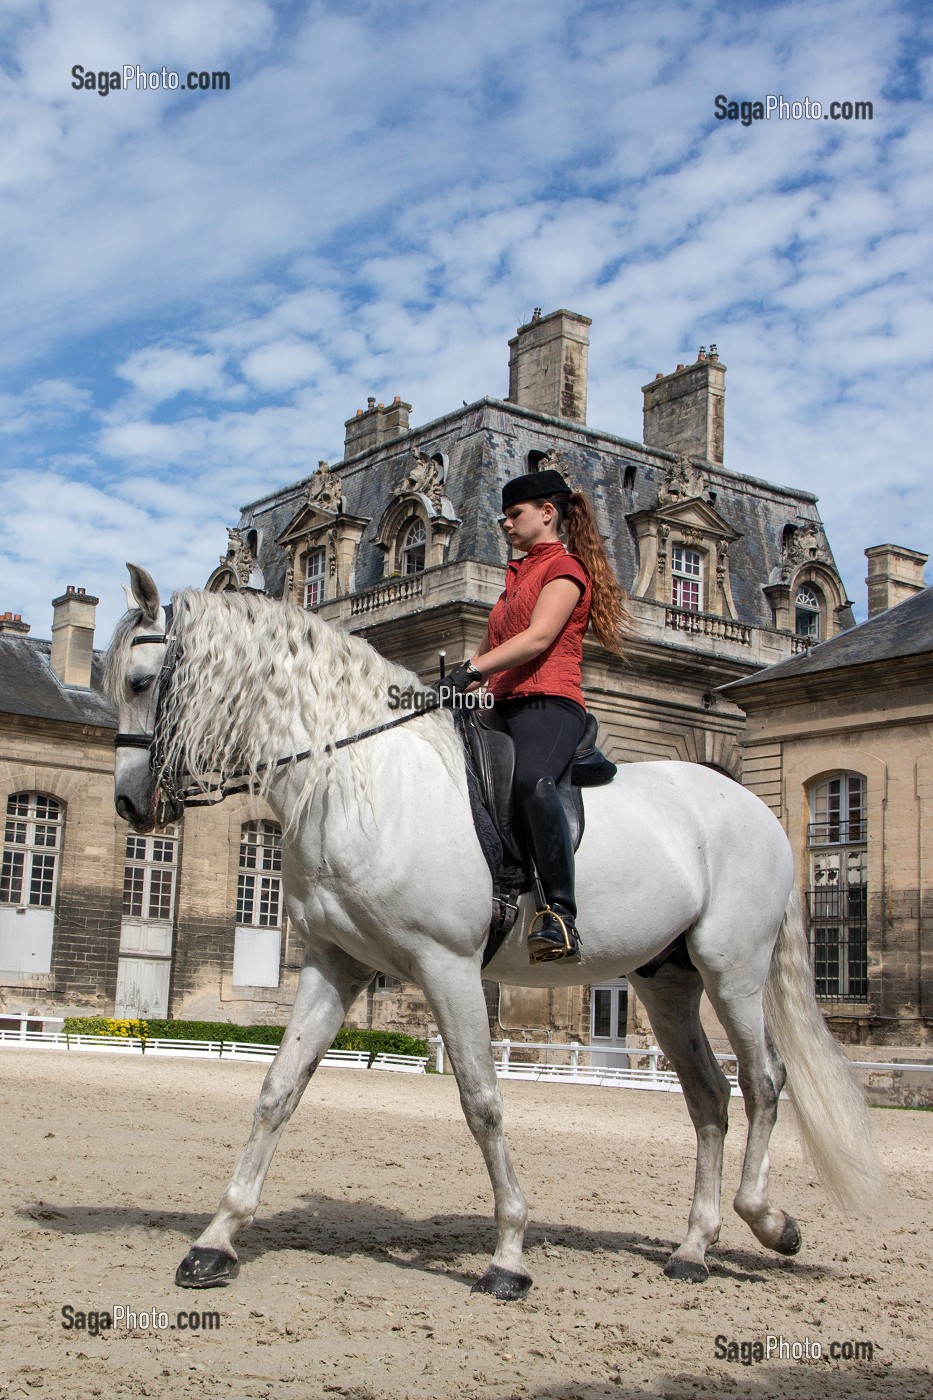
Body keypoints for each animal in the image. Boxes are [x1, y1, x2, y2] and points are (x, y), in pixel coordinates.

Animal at [105, 568, 874, 1299]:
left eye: (140, 682)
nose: (128, 804)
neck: (358, 777)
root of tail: (754, 806)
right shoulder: (335, 965)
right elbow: (277, 1091)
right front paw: (216, 1241)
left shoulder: (446, 967)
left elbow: (482, 1102)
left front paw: (509, 1254)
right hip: (667, 981)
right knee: (709, 1097)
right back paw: (693, 1247)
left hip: (731, 968)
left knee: (764, 1081)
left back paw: (768, 1222)